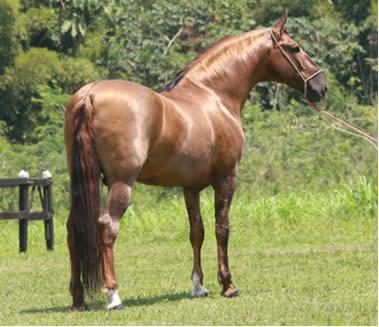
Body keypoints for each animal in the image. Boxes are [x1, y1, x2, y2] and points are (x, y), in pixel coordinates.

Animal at [64, 15, 326, 312]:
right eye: (294, 48)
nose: (321, 86)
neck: (213, 95)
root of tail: (90, 94)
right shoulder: (226, 179)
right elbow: (222, 229)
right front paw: (228, 284)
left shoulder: (190, 187)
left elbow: (196, 232)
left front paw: (199, 286)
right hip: (121, 183)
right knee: (107, 227)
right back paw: (113, 296)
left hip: (83, 181)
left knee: (74, 229)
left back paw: (78, 299)